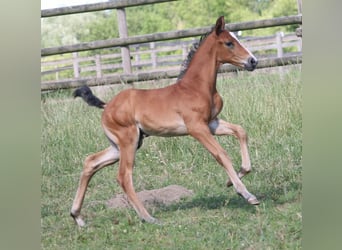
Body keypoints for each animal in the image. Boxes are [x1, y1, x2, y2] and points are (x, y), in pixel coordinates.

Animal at [70, 16, 260, 227]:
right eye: (229, 43)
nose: (253, 61)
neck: (196, 87)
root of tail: (107, 106)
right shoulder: (196, 128)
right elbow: (221, 154)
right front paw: (246, 194)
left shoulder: (212, 123)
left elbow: (241, 131)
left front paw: (234, 178)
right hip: (128, 140)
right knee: (123, 176)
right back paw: (148, 217)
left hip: (121, 145)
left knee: (91, 162)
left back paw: (77, 216)